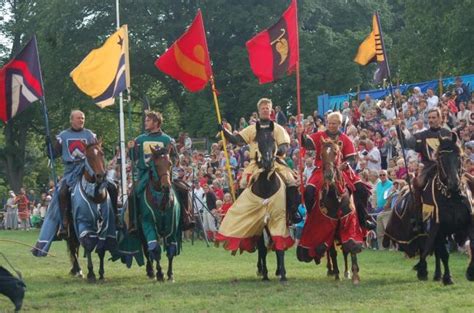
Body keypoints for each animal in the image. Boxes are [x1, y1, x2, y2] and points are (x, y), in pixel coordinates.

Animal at [66, 141, 117, 280]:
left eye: (102, 153)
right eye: (88, 156)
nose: (100, 176)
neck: (96, 196)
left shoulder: (106, 226)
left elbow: (101, 248)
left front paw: (101, 273)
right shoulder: (84, 224)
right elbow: (88, 245)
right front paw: (91, 273)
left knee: (76, 247)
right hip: (71, 228)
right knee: (73, 246)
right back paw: (78, 270)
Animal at [139, 145, 181, 282]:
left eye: (170, 163)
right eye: (156, 165)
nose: (166, 186)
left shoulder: (172, 226)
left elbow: (171, 249)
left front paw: (170, 274)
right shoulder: (149, 224)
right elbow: (155, 248)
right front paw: (159, 273)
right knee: (147, 249)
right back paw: (151, 271)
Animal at [384, 133, 472, 284]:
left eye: (459, 156)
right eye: (441, 158)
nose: (454, 184)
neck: (452, 197)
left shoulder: (467, 224)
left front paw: (469, 273)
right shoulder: (438, 227)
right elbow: (444, 254)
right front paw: (448, 278)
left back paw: (436, 274)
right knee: (426, 248)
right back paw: (424, 271)